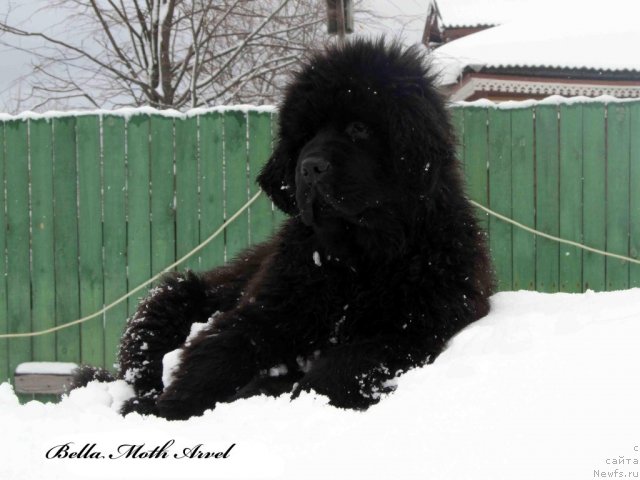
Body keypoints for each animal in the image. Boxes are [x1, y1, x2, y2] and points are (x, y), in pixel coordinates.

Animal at [76, 38, 496, 420]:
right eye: (306, 134)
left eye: (359, 128)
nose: (310, 167)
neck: (356, 258)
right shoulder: (267, 311)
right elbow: (218, 352)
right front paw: (172, 409)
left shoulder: (413, 330)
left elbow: (345, 365)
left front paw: (294, 394)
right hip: (168, 299)